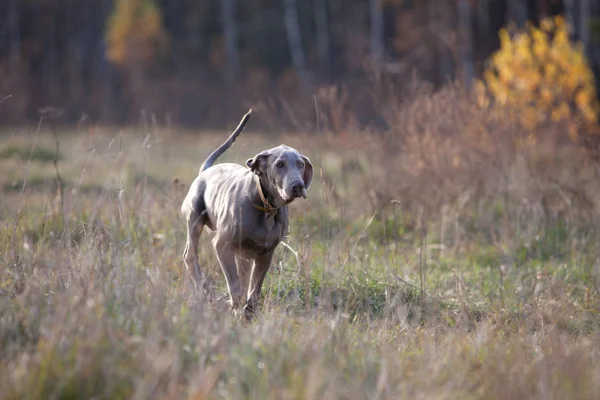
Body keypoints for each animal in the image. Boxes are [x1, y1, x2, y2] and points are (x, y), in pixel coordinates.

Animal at [180, 108, 314, 318]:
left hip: (242, 253)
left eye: (300, 164)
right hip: (195, 219)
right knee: (190, 255)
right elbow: (235, 285)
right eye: (279, 164)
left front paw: (248, 312)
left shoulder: (266, 254)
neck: (265, 207)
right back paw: (206, 291)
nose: (298, 186)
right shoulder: (222, 245)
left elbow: (254, 289)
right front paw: (235, 306)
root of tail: (205, 171)